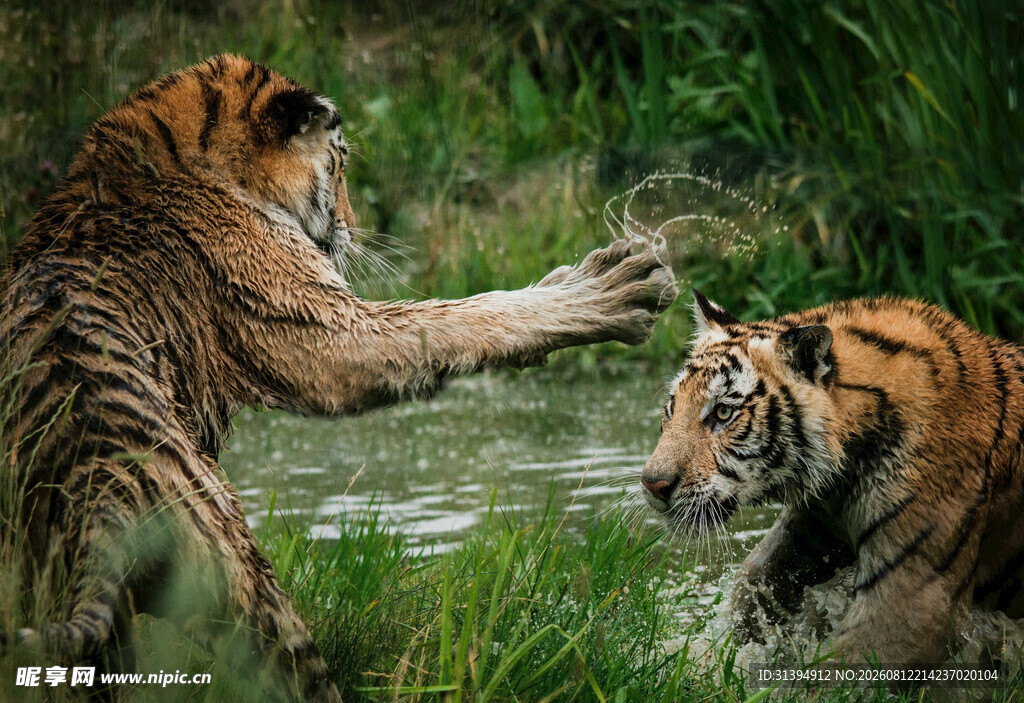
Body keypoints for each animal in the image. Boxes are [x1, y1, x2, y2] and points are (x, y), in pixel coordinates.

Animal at [0, 54, 677, 701]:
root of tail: (95, 481)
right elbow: (462, 316)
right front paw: (613, 289)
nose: (351, 226)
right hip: (239, 575)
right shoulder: (328, 332)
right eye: (341, 163)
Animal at [641, 290, 1024, 667]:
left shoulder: (914, 601)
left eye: (723, 412)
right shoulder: (813, 526)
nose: (652, 484)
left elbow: (828, 673)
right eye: (672, 406)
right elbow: (752, 585)